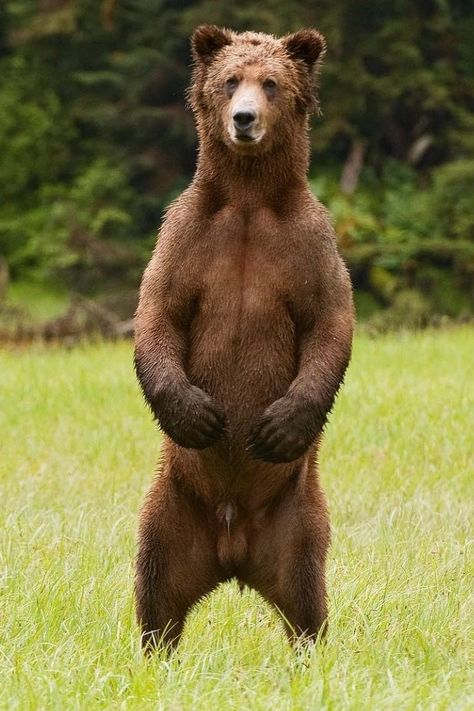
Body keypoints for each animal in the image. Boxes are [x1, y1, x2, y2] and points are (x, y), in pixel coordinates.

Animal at [132, 26, 352, 652]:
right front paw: (199, 415)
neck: (251, 198)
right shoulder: (187, 236)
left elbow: (331, 323)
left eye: (271, 82)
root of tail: (232, 553)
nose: (244, 119)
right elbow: (157, 314)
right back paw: (155, 650)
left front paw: (279, 427)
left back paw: (309, 648)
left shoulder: (309, 243)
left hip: (297, 519)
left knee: (306, 598)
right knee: (155, 587)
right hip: (171, 506)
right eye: (231, 80)